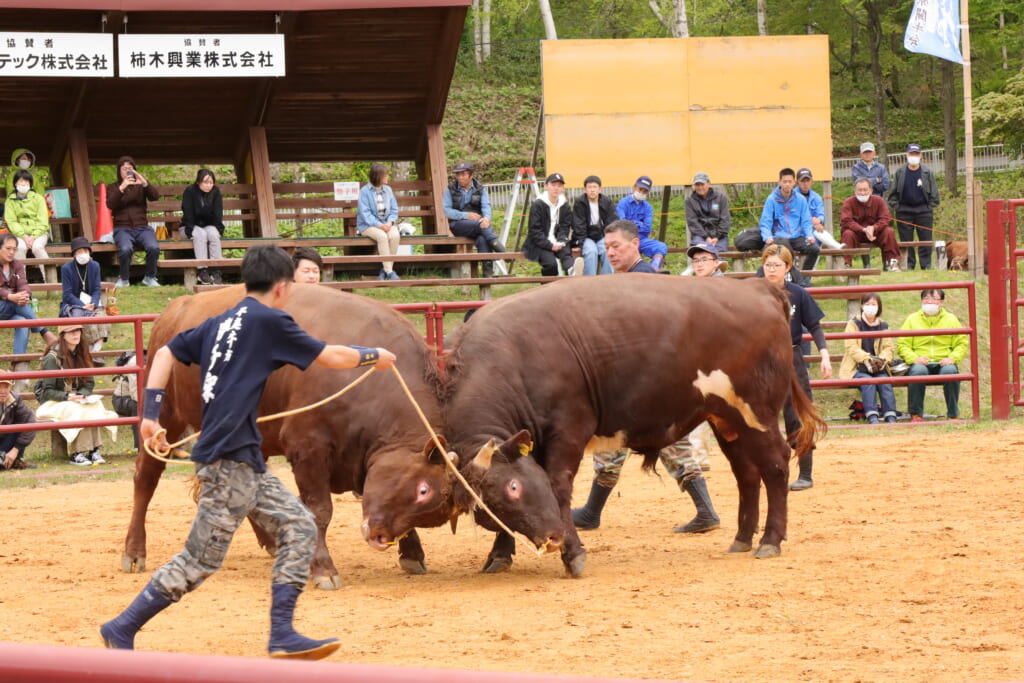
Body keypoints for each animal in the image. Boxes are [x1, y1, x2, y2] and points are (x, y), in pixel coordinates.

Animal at [121, 286, 454, 589]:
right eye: (422, 490)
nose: (379, 537)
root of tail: (175, 309)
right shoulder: (307, 448)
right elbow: (319, 511)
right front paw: (323, 569)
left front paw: (411, 552)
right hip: (166, 416)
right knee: (146, 477)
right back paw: (134, 551)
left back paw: (270, 540)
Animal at [444, 274, 827, 573]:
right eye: (485, 506)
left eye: (513, 489)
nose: (549, 539)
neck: (513, 356)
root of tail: (757, 288)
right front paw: (499, 554)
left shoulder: (568, 433)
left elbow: (557, 490)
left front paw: (573, 553)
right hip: (726, 421)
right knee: (746, 474)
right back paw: (742, 538)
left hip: (756, 414)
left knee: (775, 466)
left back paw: (770, 539)